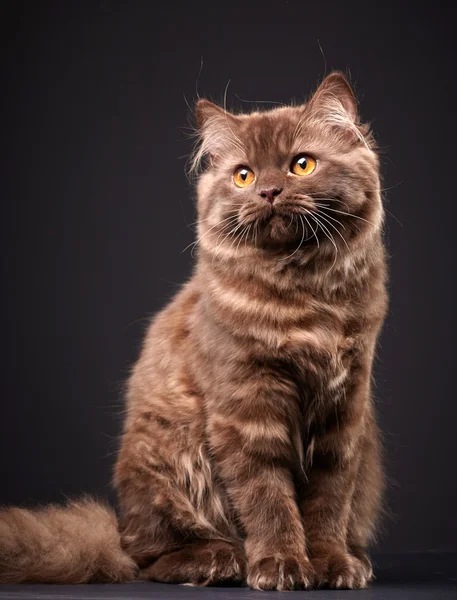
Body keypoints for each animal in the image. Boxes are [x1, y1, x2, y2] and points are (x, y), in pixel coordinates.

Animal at [0, 71, 386, 592]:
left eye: (301, 165)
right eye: (244, 175)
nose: (268, 191)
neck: (303, 298)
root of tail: (119, 526)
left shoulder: (344, 411)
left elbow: (329, 501)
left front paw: (330, 564)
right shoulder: (246, 407)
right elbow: (269, 498)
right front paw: (282, 564)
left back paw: (354, 559)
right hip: (168, 456)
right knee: (146, 558)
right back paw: (221, 561)